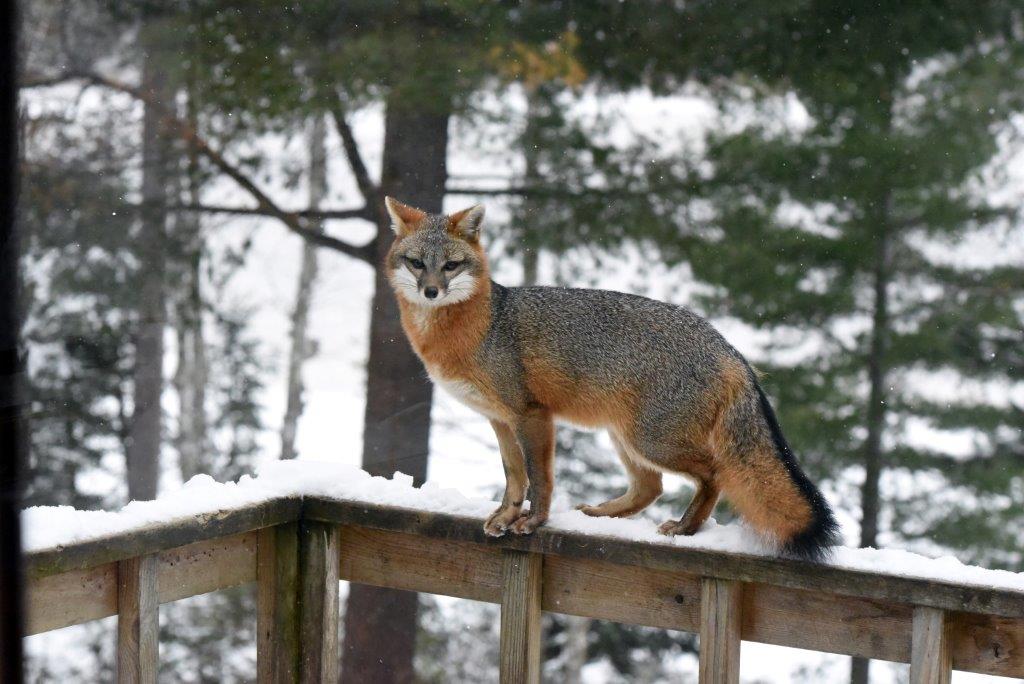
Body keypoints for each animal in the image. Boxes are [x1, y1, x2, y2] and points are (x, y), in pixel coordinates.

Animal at [383, 196, 840, 560]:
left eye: (451, 265)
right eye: (417, 263)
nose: (431, 292)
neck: (483, 324)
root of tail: (730, 349)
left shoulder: (532, 415)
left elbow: (539, 479)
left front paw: (533, 522)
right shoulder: (499, 419)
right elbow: (515, 477)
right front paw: (504, 517)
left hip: (652, 441)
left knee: (713, 475)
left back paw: (685, 528)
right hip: (627, 440)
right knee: (650, 488)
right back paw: (603, 514)